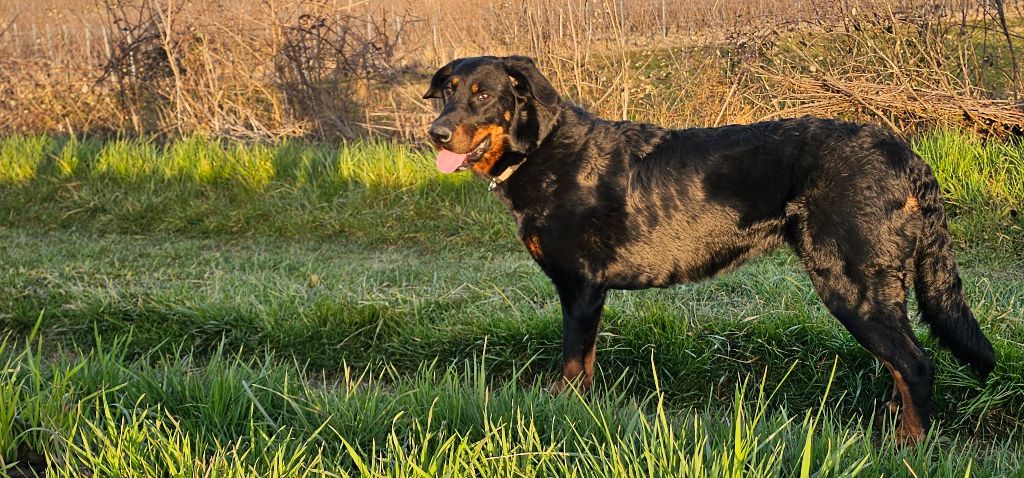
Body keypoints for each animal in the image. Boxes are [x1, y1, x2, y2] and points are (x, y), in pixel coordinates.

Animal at [422, 55, 995, 443]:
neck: (540, 151)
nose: (436, 133)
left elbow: (571, 364)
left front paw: (562, 414)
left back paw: (907, 447)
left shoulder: (581, 288)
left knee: (915, 365)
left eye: (482, 95)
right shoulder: (590, 292)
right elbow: (584, 365)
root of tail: (906, 153)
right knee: (902, 365)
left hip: (851, 284)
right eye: (447, 91)